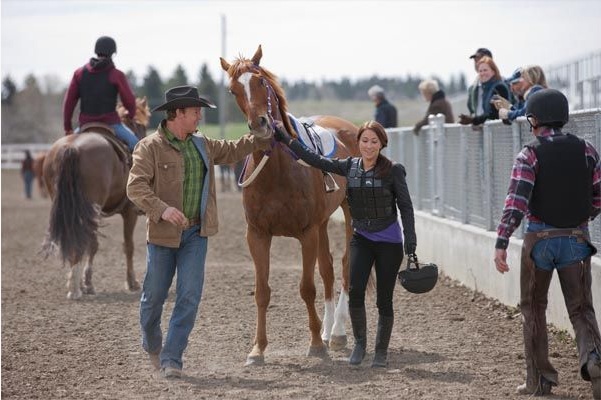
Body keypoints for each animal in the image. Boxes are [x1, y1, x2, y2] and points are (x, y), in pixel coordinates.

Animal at [42, 97, 150, 298]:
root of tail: (72, 148)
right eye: (141, 125)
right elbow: (128, 246)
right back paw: (79, 286)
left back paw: (75, 285)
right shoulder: (129, 212)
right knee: (91, 242)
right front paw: (131, 282)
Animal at [221, 45, 358, 364]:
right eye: (233, 89)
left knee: (345, 264)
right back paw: (328, 330)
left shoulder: (306, 232)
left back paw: (337, 333)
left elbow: (307, 288)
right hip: (323, 223)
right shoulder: (257, 234)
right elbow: (262, 291)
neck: (279, 170)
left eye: (260, 80)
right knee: (328, 268)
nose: (260, 124)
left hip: (348, 211)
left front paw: (316, 345)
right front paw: (257, 349)